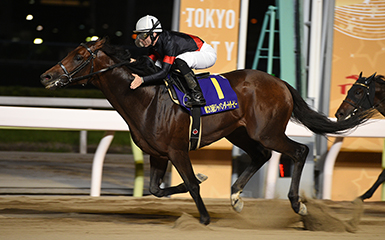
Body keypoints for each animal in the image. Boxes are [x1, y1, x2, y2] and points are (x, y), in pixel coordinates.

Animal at [40, 38, 368, 224]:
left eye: (79, 56)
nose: (46, 76)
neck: (144, 98)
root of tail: (280, 82)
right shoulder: (158, 154)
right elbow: (157, 189)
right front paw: (202, 180)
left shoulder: (176, 150)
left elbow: (191, 185)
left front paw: (205, 216)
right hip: (239, 132)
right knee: (261, 155)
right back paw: (236, 197)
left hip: (268, 131)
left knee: (299, 150)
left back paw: (298, 205)